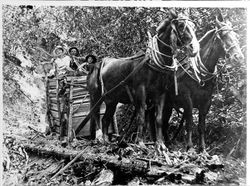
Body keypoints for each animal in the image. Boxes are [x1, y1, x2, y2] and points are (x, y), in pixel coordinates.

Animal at [88, 10, 199, 151]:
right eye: (180, 25)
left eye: (193, 26)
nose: (194, 49)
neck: (153, 64)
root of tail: (97, 64)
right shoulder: (140, 91)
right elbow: (141, 116)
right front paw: (140, 143)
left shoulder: (160, 93)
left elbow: (158, 119)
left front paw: (160, 144)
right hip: (95, 98)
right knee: (95, 116)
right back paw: (100, 139)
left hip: (112, 100)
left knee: (105, 119)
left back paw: (107, 141)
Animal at [162, 14, 244, 152]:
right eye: (223, 35)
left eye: (236, 36)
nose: (239, 58)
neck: (199, 74)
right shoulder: (187, 100)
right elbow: (190, 123)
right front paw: (189, 147)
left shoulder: (206, 102)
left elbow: (201, 126)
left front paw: (203, 149)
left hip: (168, 105)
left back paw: (167, 144)